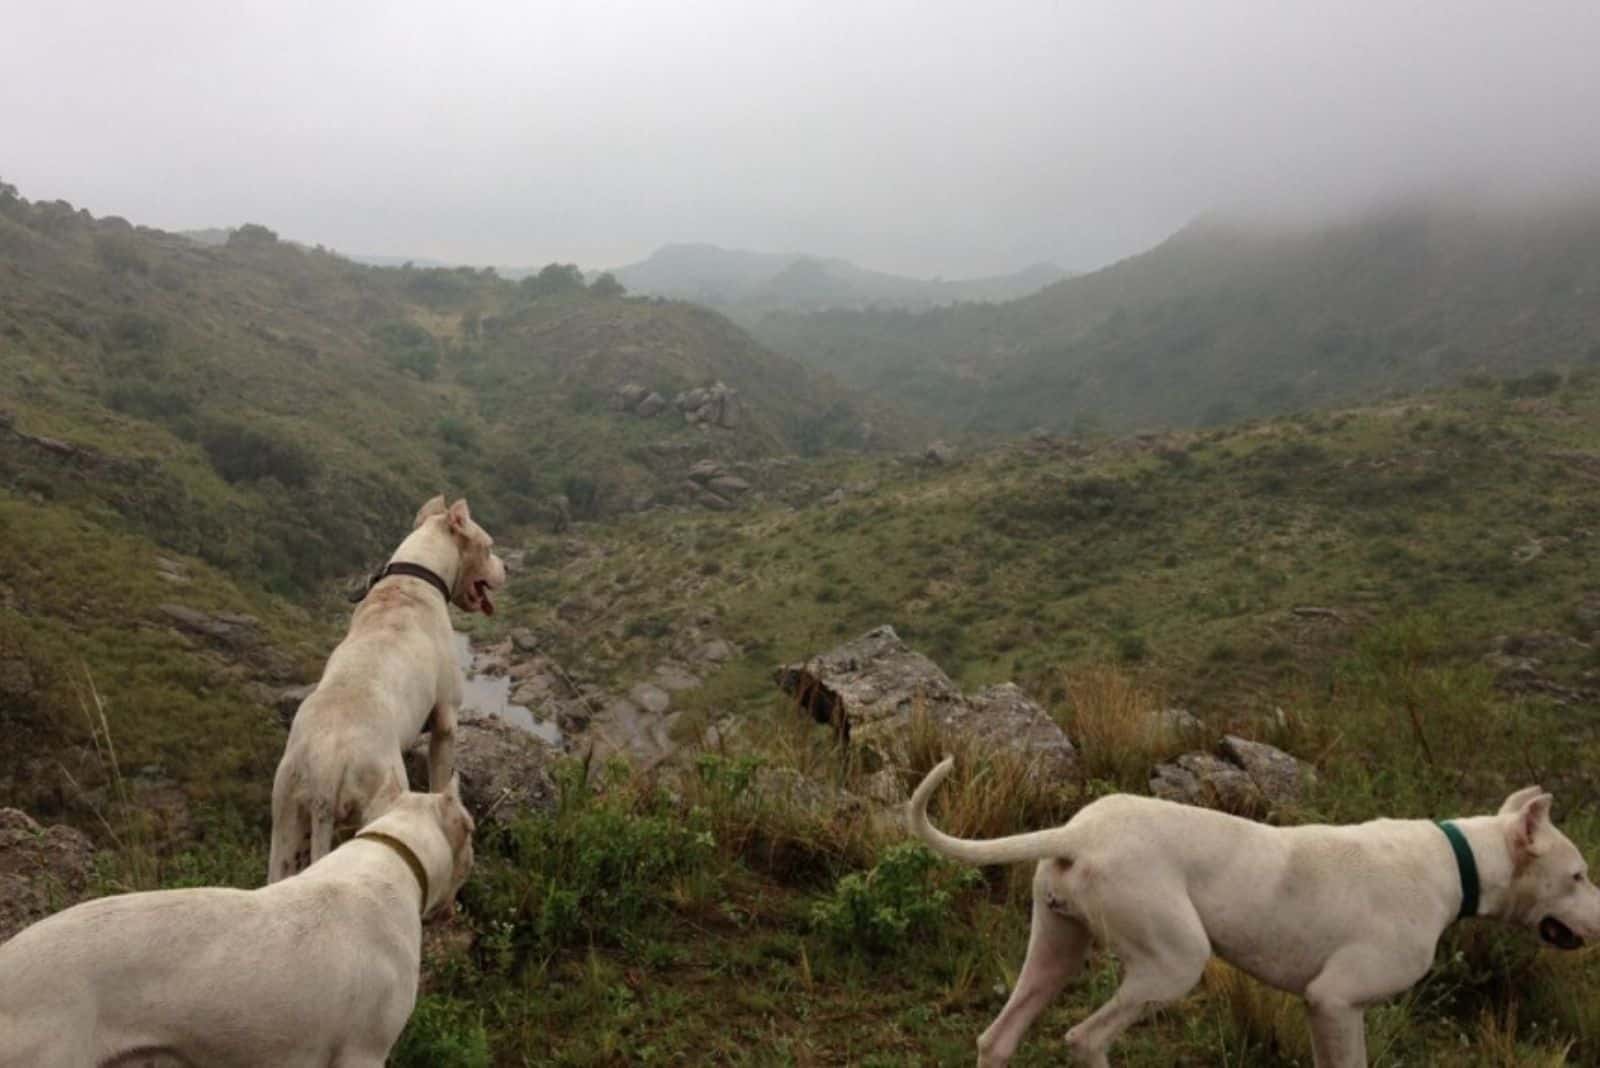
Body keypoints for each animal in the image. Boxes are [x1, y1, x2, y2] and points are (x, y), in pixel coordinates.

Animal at [268, 495, 502, 882]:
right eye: (488, 546)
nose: (506, 567)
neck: (414, 577)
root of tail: (326, 765)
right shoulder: (446, 722)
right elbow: (441, 777)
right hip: (381, 794)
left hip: (286, 820)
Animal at [908, 754, 1600, 1061]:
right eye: (1578, 875)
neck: (1456, 860)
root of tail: (1079, 832)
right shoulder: (1335, 1000)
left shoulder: (1328, 1011)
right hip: (1173, 963)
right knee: (1083, 1038)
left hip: (1055, 949)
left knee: (998, 1037)